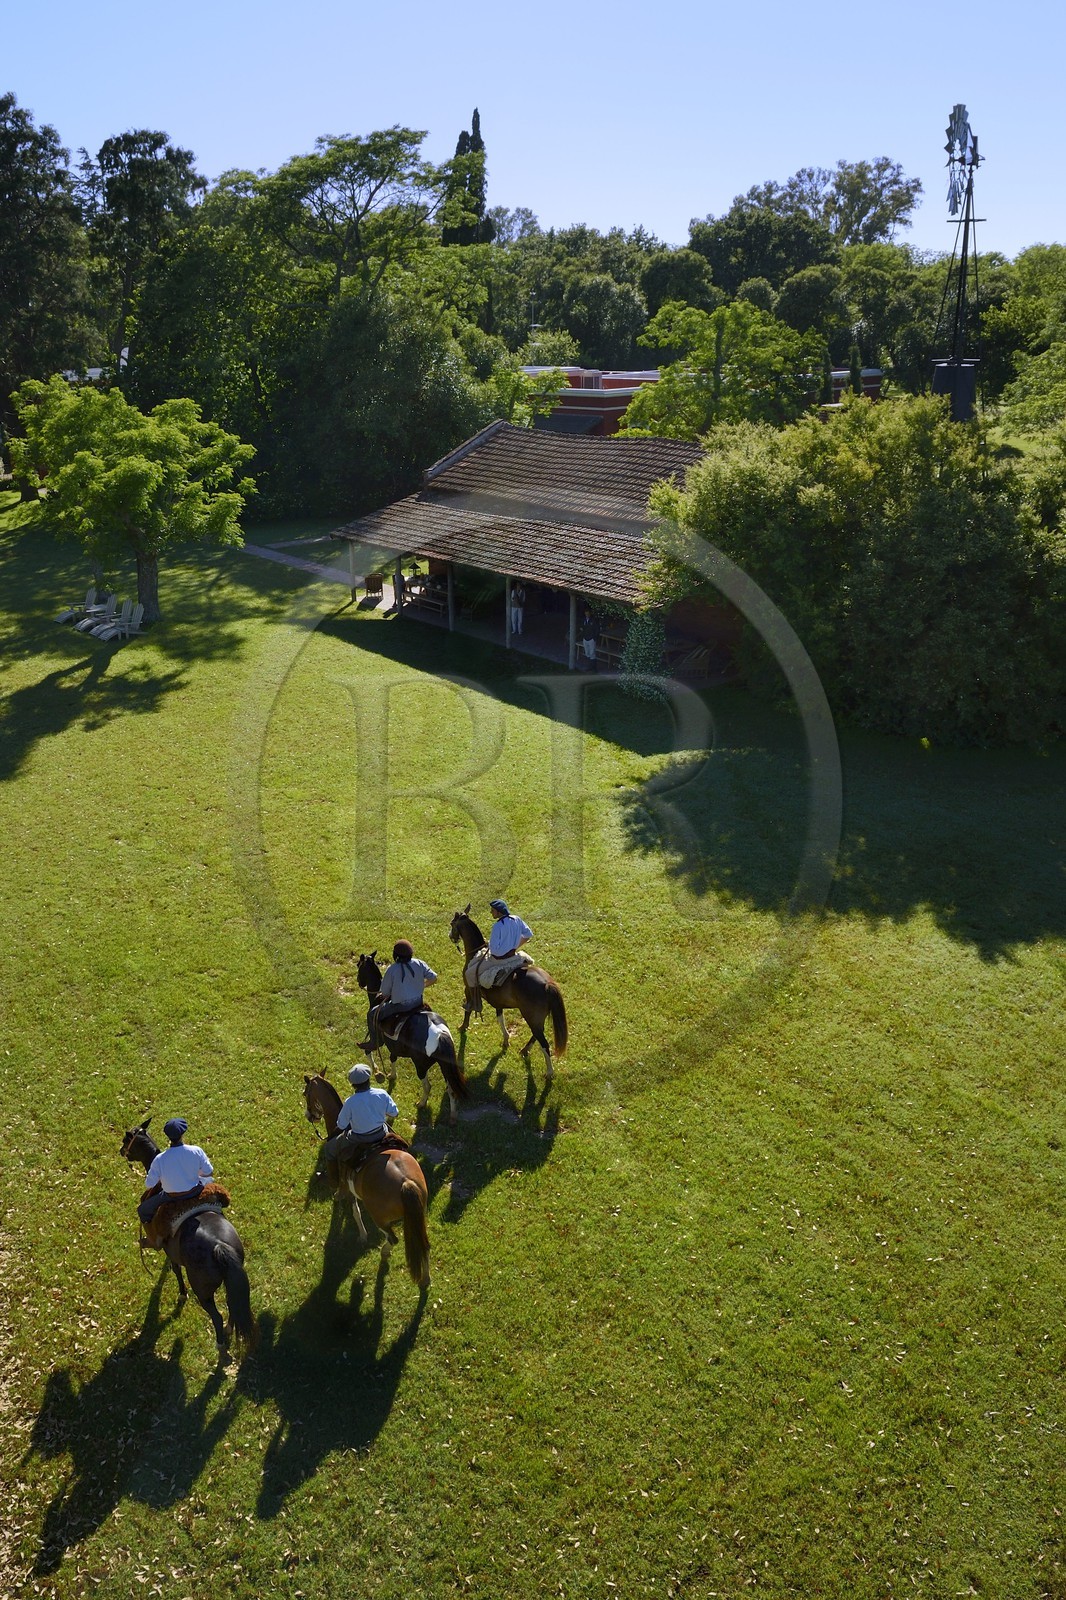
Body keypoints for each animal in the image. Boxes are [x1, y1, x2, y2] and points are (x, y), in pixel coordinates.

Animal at [119, 1119, 256, 1355]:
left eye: (126, 1140)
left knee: (217, 1316)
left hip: (203, 1292)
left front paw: (182, 1293)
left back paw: (220, 1343)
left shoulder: (168, 1250)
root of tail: (219, 1245)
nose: (121, 1152)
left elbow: (174, 1269)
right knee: (232, 1307)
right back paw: (229, 1330)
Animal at [302, 1072, 430, 1289]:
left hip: (381, 1218)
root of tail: (406, 1182)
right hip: (418, 1216)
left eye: (306, 1094)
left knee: (393, 1239)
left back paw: (385, 1253)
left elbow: (354, 1211)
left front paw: (361, 1235)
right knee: (425, 1245)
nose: (309, 1116)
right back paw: (426, 1279)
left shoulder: (349, 1188)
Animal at [354, 951, 469, 1125]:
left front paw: (377, 1071)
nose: (359, 982)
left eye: (359, 967)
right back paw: (453, 1117)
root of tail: (440, 1035)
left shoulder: (376, 1039)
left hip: (420, 1066)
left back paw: (421, 1104)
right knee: (451, 1089)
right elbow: (392, 1058)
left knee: (428, 1086)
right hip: (445, 1066)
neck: (378, 1000)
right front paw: (391, 1075)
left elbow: (368, 1051)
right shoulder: (393, 1046)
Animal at [448, 906, 568, 1080]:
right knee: (537, 1035)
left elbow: (468, 1009)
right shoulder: (498, 1002)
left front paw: (463, 1026)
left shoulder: (468, 989)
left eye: (452, 923)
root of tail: (547, 984)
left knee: (544, 1043)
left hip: (530, 1016)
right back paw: (525, 1050)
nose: (451, 936)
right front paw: (505, 1040)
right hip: (537, 1018)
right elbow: (500, 1019)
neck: (475, 954)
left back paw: (549, 1072)